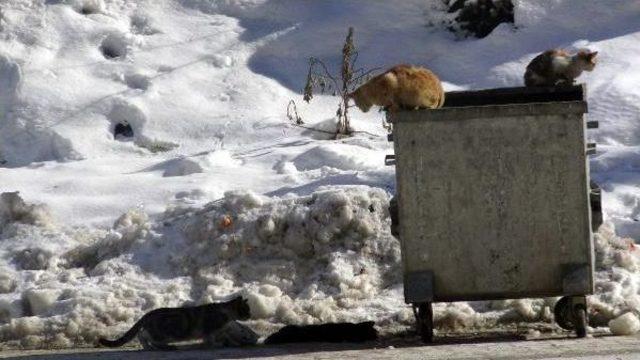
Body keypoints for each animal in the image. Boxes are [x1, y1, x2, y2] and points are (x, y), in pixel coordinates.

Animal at [99, 296, 251, 348]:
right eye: (246, 310)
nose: (250, 315)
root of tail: (149, 313)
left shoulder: (219, 331)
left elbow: (224, 336)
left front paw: (231, 343)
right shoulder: (209, 329)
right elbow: (210, 339)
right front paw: (215, 344)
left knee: (142, 334)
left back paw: (148, 347)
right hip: (163, 333)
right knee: (145, 336)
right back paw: (162, 346)